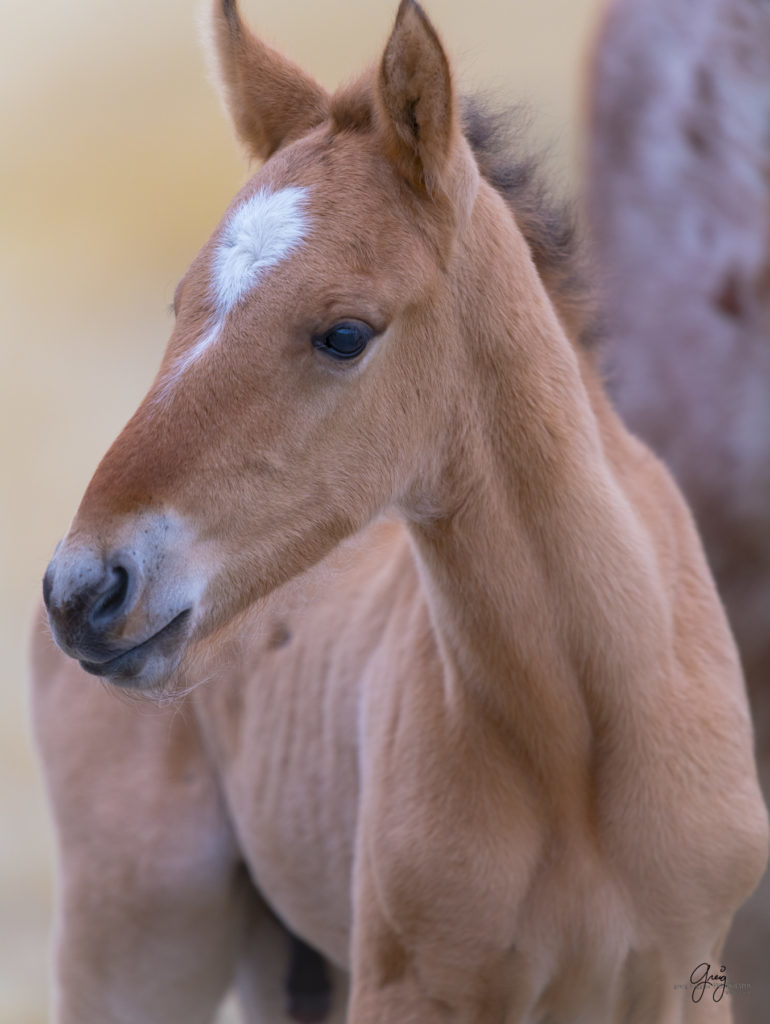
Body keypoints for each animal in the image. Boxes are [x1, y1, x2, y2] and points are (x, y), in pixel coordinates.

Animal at [33, 2, 765, 1024]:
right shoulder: (408, 986)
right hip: (138, 939)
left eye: (345, 333)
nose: (85, 589)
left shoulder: (688, 976)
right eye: (180, 306)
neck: (581, 733)